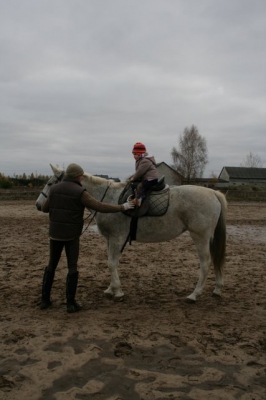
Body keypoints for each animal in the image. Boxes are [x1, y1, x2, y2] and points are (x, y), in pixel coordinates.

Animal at [35, 164, 227, 302]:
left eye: (50, 183)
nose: (38, 205)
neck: (109, 198)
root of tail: (213, 192)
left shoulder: (117, 238)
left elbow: (112, 263)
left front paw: (118, 292)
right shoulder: (111, 240)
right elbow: (112, 262)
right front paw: (111, 289)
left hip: (200, 237)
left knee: (205, 264)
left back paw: (194, 294)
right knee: (214, 260)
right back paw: (217, 289)